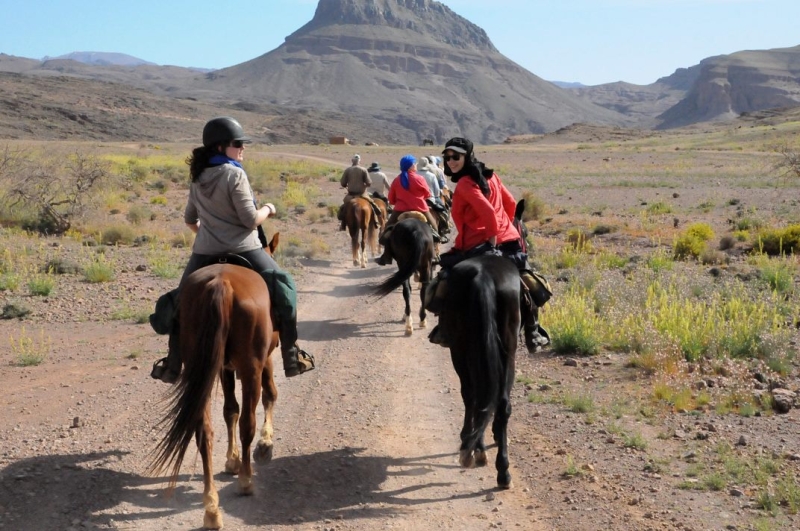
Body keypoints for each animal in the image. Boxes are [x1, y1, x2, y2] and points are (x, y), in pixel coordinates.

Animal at [148, 238, 282, 531]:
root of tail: (221, 284)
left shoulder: (222, 367)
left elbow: (229, 410)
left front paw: (231, 460)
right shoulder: (263, 360)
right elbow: (269, 396)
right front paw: (265, 445)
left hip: (201, 369)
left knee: (204, 431)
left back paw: (211, 507)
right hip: (250, 367)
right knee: (247, 424)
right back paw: (246, 481)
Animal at [440, 254, 520, 490]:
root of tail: (483, 277)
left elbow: (471, 396)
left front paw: (470, 440)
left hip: (461, 348)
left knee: (475, 395)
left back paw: (477, 450)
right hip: (507, 349)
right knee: (500, 403)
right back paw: (503, 471)